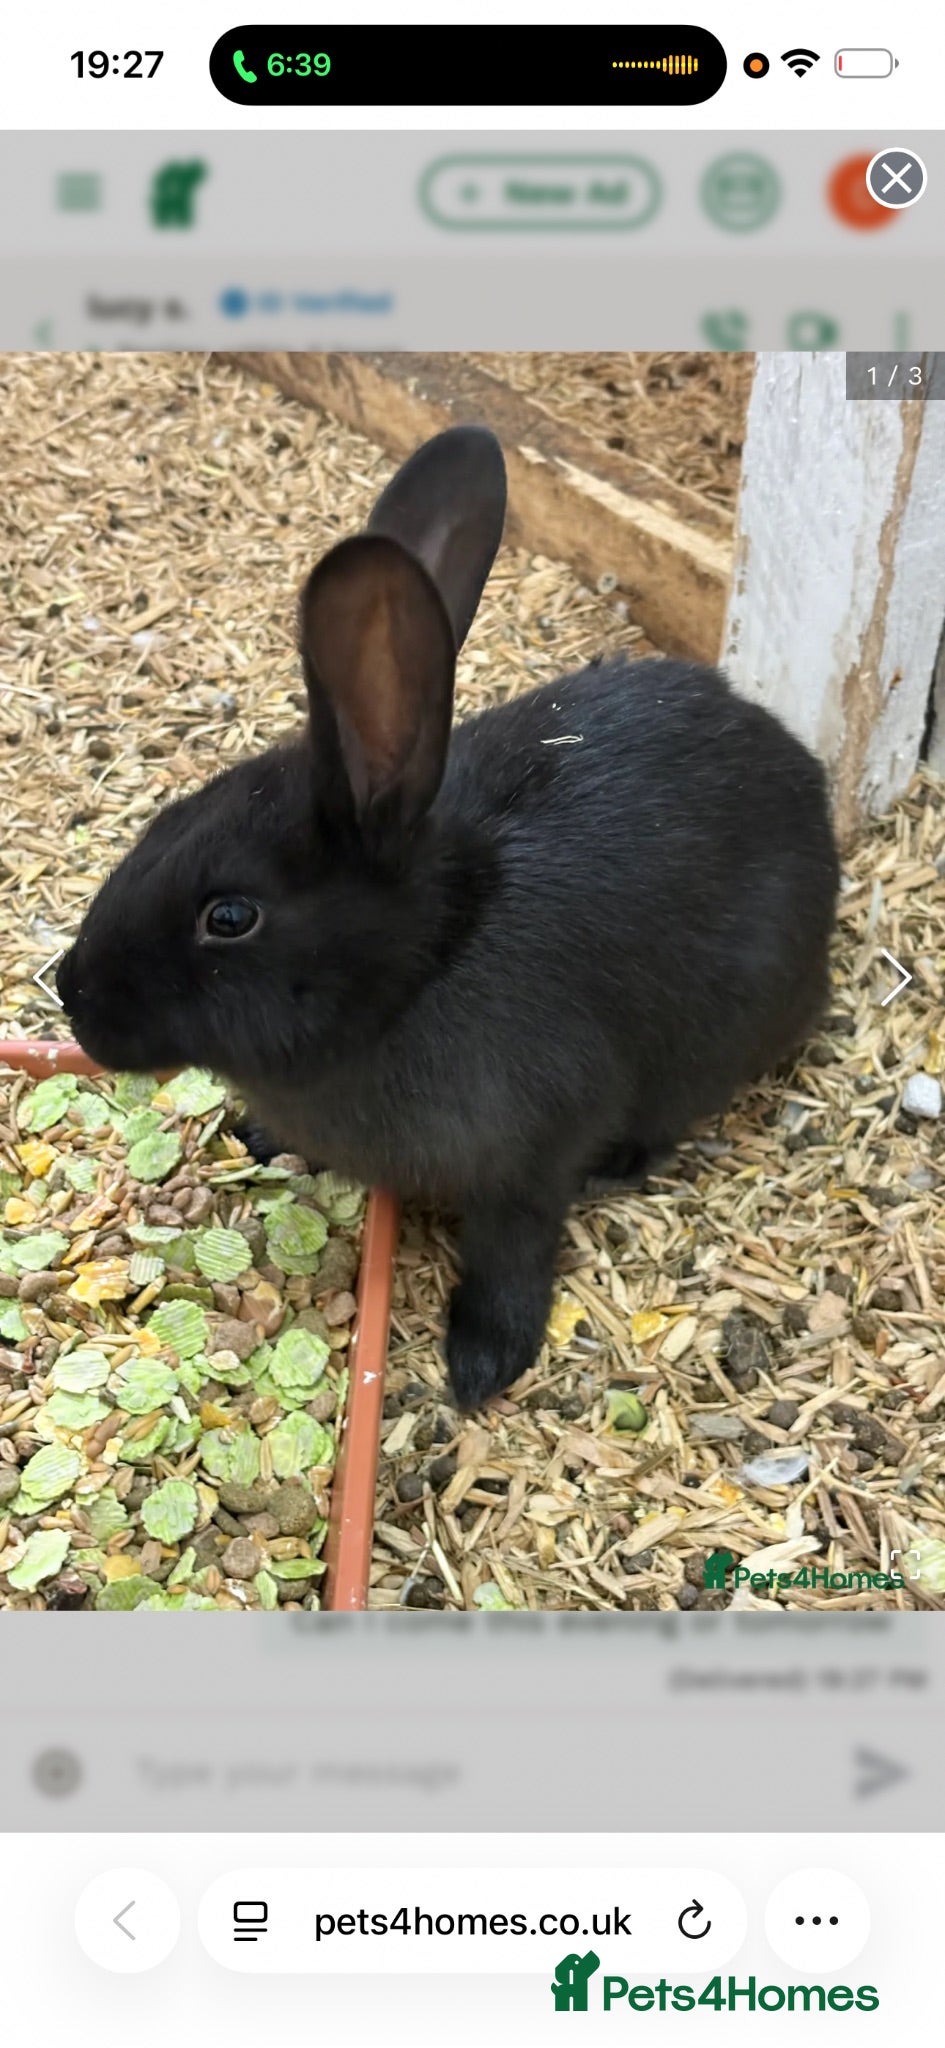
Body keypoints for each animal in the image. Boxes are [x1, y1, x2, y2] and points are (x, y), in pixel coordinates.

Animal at [57, 423, 839, 1413]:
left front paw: (481, 1362)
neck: (426, 967)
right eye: (162, 822)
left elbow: (512, 1251)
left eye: (229, 916)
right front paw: (264, 1139)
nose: (70, 993)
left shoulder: (530, 1162)